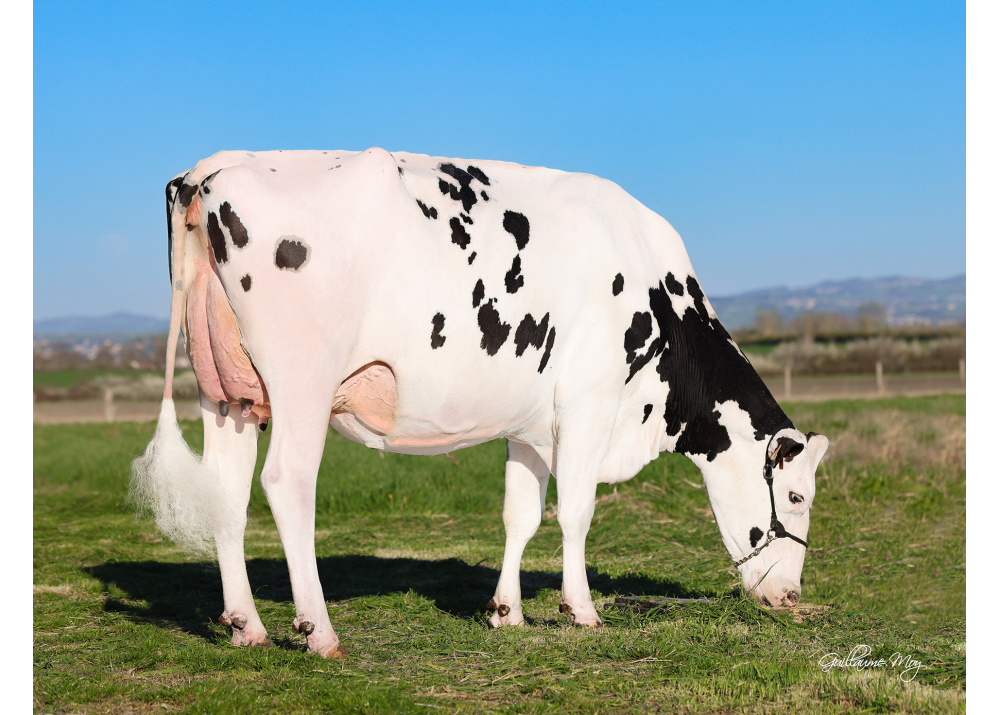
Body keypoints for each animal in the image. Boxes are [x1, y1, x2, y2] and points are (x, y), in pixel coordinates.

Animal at [131, 147, 828, 660]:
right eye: (796, 496)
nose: (793, 596)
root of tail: (207, 172)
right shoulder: (589, 401)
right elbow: (576, 511)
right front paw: (581, 610)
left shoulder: (531, 425)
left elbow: (520, 515)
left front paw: (506, 612)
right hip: (302, 383)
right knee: (287, 483)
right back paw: (320, 632)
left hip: (228, 394)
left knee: (226, 492)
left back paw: (245, 625)